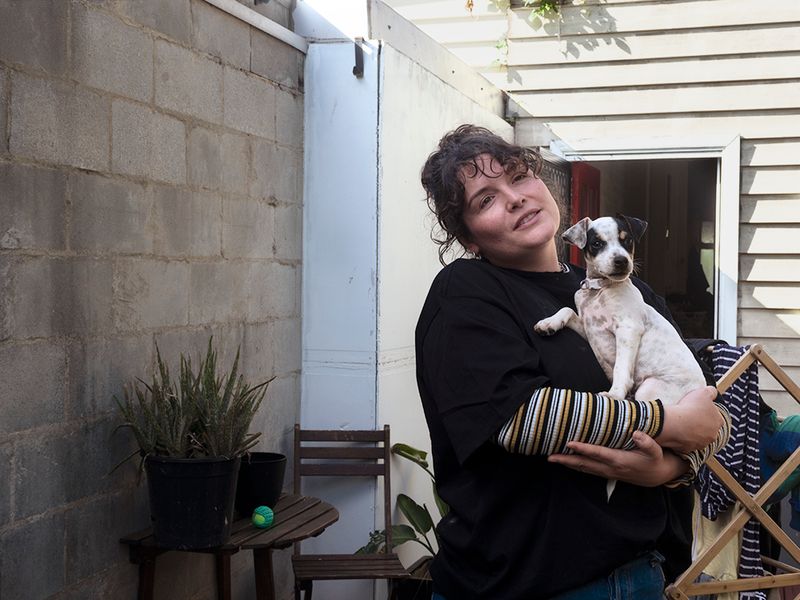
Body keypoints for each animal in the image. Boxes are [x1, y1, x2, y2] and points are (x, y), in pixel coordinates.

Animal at [536, 216, 704, 496]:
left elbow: (620, 370)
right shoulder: (588, 327)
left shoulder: (627, 329)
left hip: (651, 390)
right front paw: (548, 323)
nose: (622, 261)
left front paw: (614, 394)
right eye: (596, 243)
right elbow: (567, 310)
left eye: (628, 241)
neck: (599, 291)